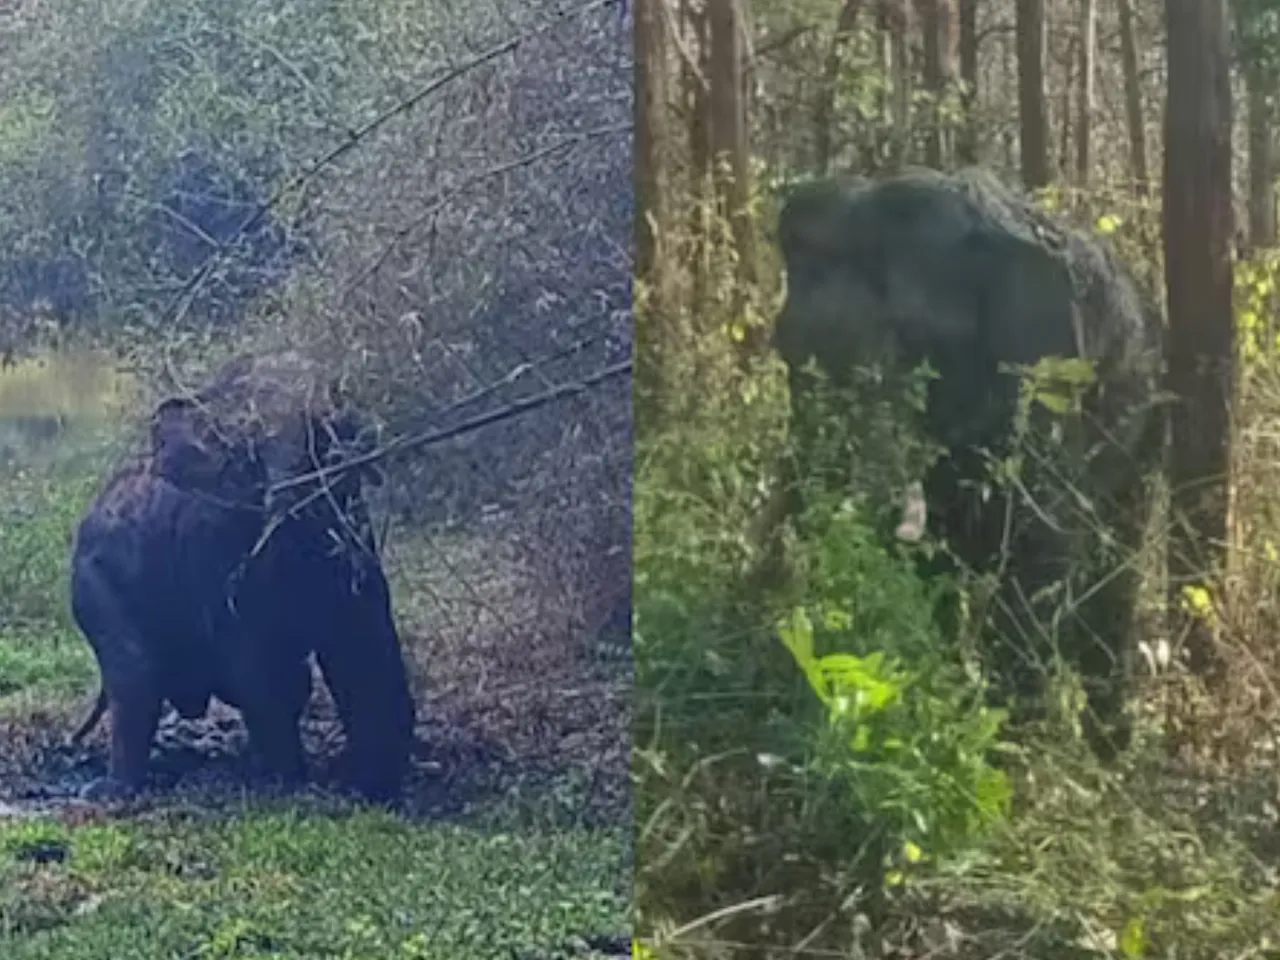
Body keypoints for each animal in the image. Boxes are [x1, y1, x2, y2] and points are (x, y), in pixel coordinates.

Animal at [69, 351, 415, 802]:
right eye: (250, 449)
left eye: (322, 432)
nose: (280, 504)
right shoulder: (214, 553)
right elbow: (257, 666)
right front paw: (291, 783)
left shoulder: (352, 538)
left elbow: (362, 647)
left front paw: (375, 786)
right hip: (94, 586)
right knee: (135, 674)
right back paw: (113, 790)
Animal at [769, 168, 1165, 758]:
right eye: (782, 348)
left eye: (916, 341)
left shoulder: (1043, 371)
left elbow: (1042, 543)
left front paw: (1006, 744)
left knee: (1113, 566)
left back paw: (1108, 749)